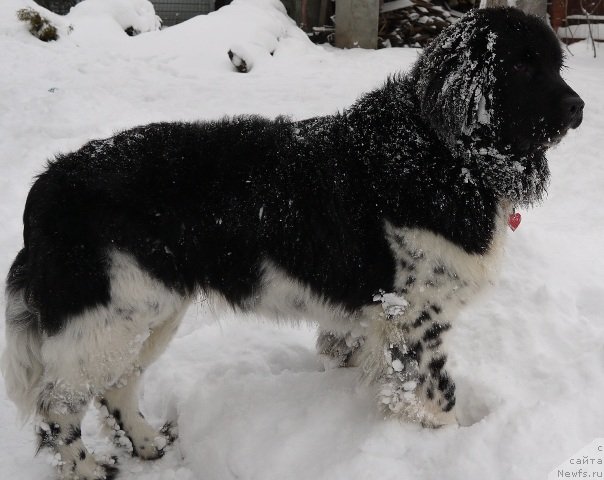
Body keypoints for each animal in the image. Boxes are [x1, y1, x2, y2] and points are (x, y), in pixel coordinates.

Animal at [2, 7, 584, 480]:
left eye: (557, 64)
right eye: (520, 67)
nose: (579, 108)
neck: (437, 151)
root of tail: (49, 183)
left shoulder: (373, 317)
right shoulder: (417, 314)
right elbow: (435, 393)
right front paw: (442, 447)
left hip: (150, 310)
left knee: (118, 384)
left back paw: (149, 445)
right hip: (105, 316)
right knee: (59, 404)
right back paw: (85, 467)